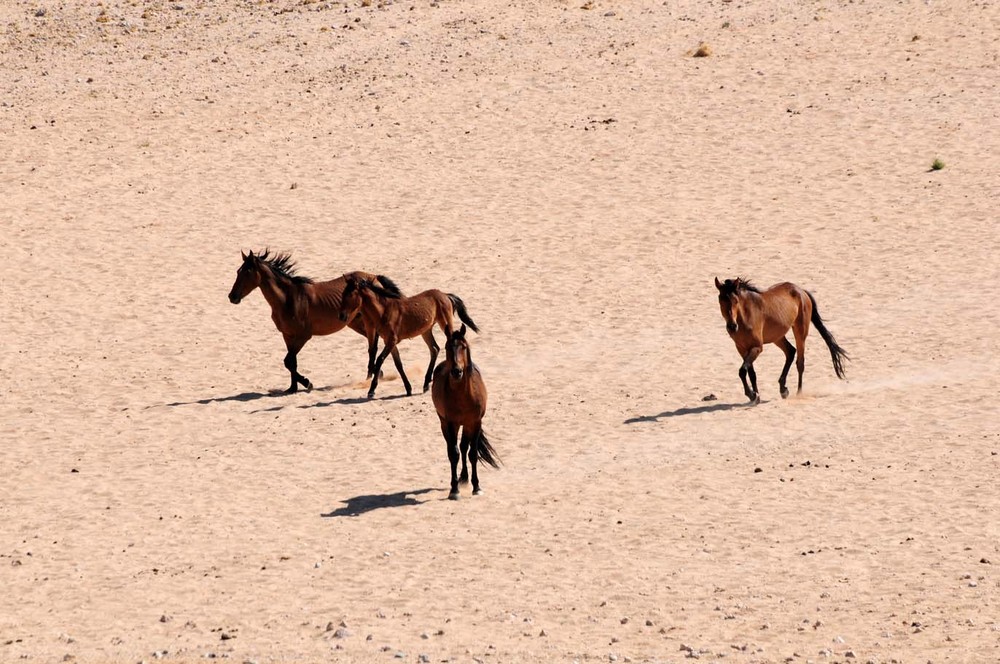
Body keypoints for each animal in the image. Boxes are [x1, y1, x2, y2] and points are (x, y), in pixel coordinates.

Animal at [227, 250, 402, 394]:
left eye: (247, 272)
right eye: (238, 271)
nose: (232, 297)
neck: (289, 298)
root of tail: (375, 277)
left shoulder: (303, 336)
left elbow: (288, 361)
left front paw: (307, 383)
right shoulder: (287, 336)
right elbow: (292, 362)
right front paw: (292, 388)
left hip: (367, 321)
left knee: (373, 347)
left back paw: (370, 377)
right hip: (355, 323)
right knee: (373, 345)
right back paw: (374, 374)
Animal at [338, 274, 482, 400]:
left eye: (350, 294)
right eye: (343, 294)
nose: (342, 316)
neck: (384, 311)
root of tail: (445, 295)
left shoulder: (391, 341)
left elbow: (379, 360)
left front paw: (371, 391)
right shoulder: (390, 342)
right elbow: (398, 364)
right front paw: (408, 389)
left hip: (445, 325)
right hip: (426, 331)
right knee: (434, 349)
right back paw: (426, 383)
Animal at [430, 324, 500, 500]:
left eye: (464, 346)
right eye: (448, 347)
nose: (457, 371)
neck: (463, 395)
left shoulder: (475, 422)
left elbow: (472, 453)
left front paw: (477, 487)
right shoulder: (450, 424)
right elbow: (453, 454)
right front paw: (454, 490)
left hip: (466, 425)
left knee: (464, 447)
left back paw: (464, 477)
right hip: (445, 424)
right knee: (453, 449)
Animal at [716, 276, 848, 404]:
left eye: (736, 301)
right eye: (721, 300)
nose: (732, 327)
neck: (745, 317)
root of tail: (801, 291)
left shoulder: (757, 347)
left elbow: (743, 370)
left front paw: (752, 394)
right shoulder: (742, 349)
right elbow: (751, 372)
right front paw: (755, 396)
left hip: (800, 333)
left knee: (800, 362)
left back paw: (798, 393)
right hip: (777, 337)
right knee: (790, 351)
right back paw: (783, 389)